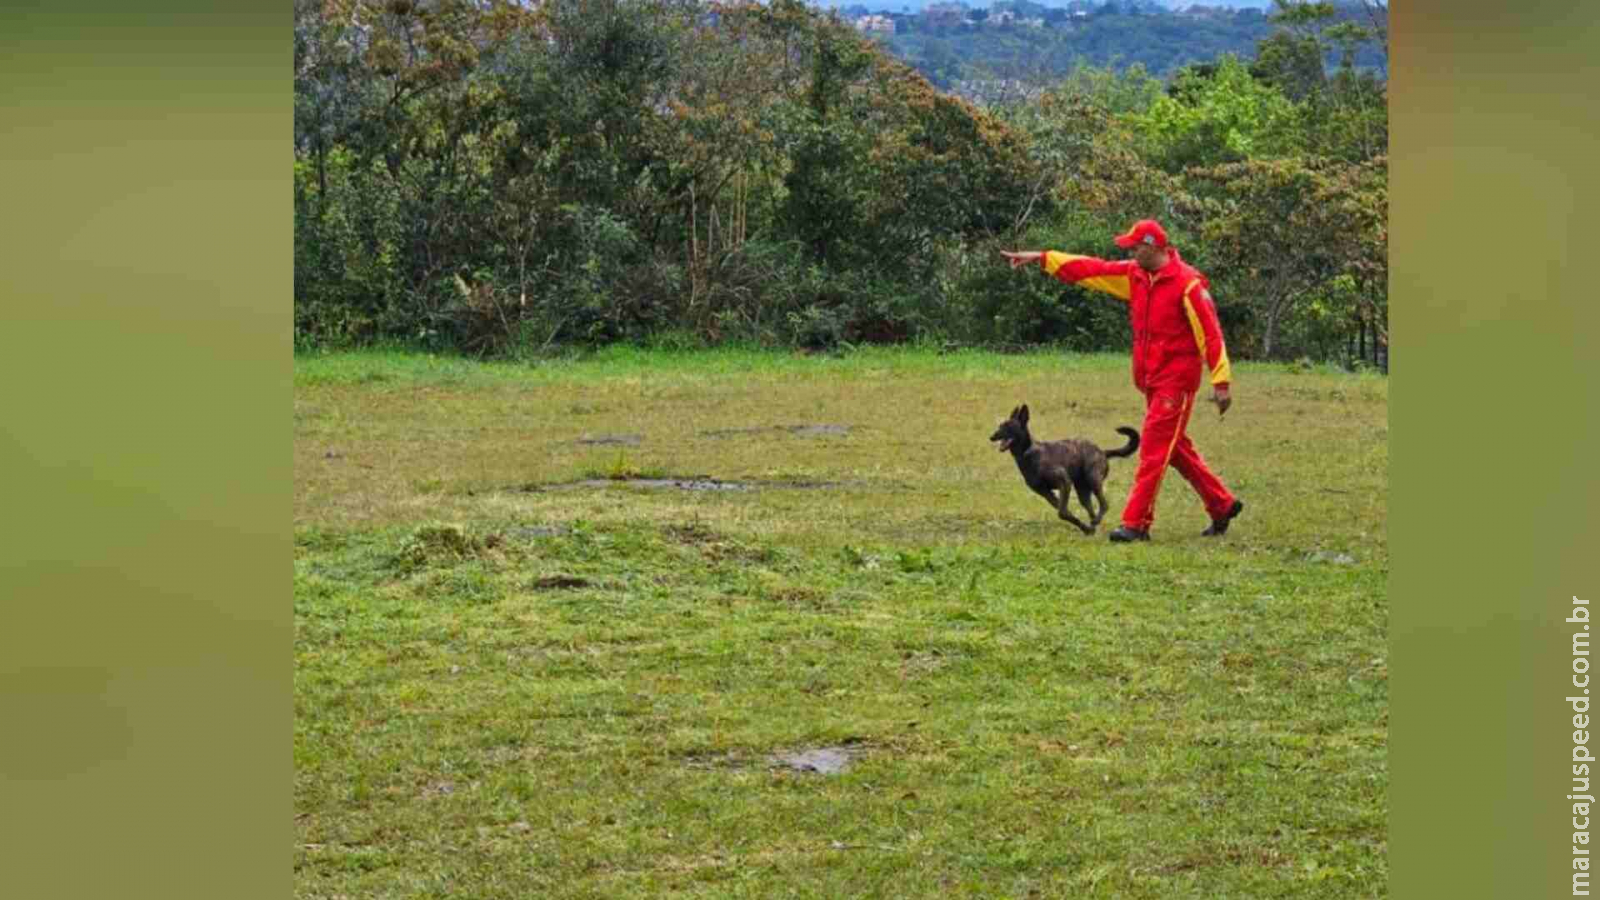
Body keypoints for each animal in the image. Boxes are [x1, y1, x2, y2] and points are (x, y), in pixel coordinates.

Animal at [985, 400, 1139, 531]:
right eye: (999, 426)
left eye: (1009, 427)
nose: (991, 437)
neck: (1028, 452)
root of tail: (1102, 451)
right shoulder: (1046, 493)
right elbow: (1066, 513)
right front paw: (1084, 527)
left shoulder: (1064, 482)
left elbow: (1062, 512)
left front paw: (1083, 527)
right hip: (1083, 491)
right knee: (1091, 510)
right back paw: (1092, 525)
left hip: (1093, 479)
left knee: (1104, 505)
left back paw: (1095, 522)